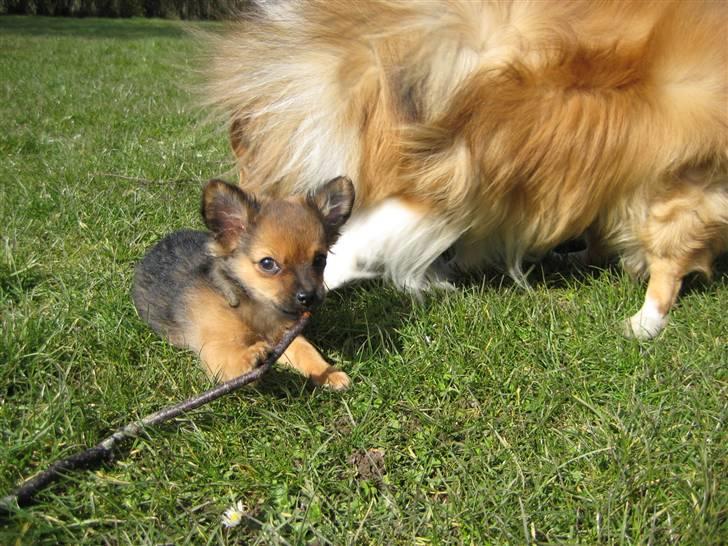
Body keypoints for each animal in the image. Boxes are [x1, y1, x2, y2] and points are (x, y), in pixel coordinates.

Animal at [135, 175, 356, 386]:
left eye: (320, 260)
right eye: (268, 263)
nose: (309, 297)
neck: (255, 307)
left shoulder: (283, 336)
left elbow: (306, 349)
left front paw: (329, 373)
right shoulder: (214, 347)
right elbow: (228, 359)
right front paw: (249, 357)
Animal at [205, 2, 728, 338]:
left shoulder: (445, 178)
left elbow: (357, 243)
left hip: (673, 183)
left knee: (670, 261)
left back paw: (644, 323)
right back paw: (574, 258)